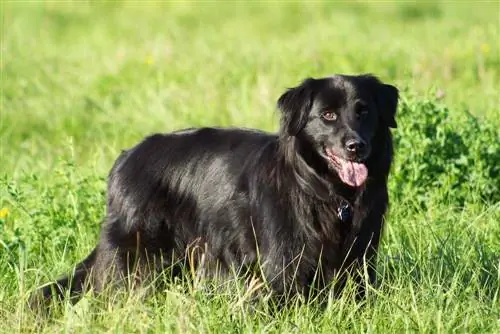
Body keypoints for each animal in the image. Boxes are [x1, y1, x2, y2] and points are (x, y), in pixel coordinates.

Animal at [32, 74, 398, 310]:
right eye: (328, 115)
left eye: (364, 111)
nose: (356, 146)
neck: (325, 190)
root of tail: (126, 157)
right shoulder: (281, 267)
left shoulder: (359, 256)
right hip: (136, 253)